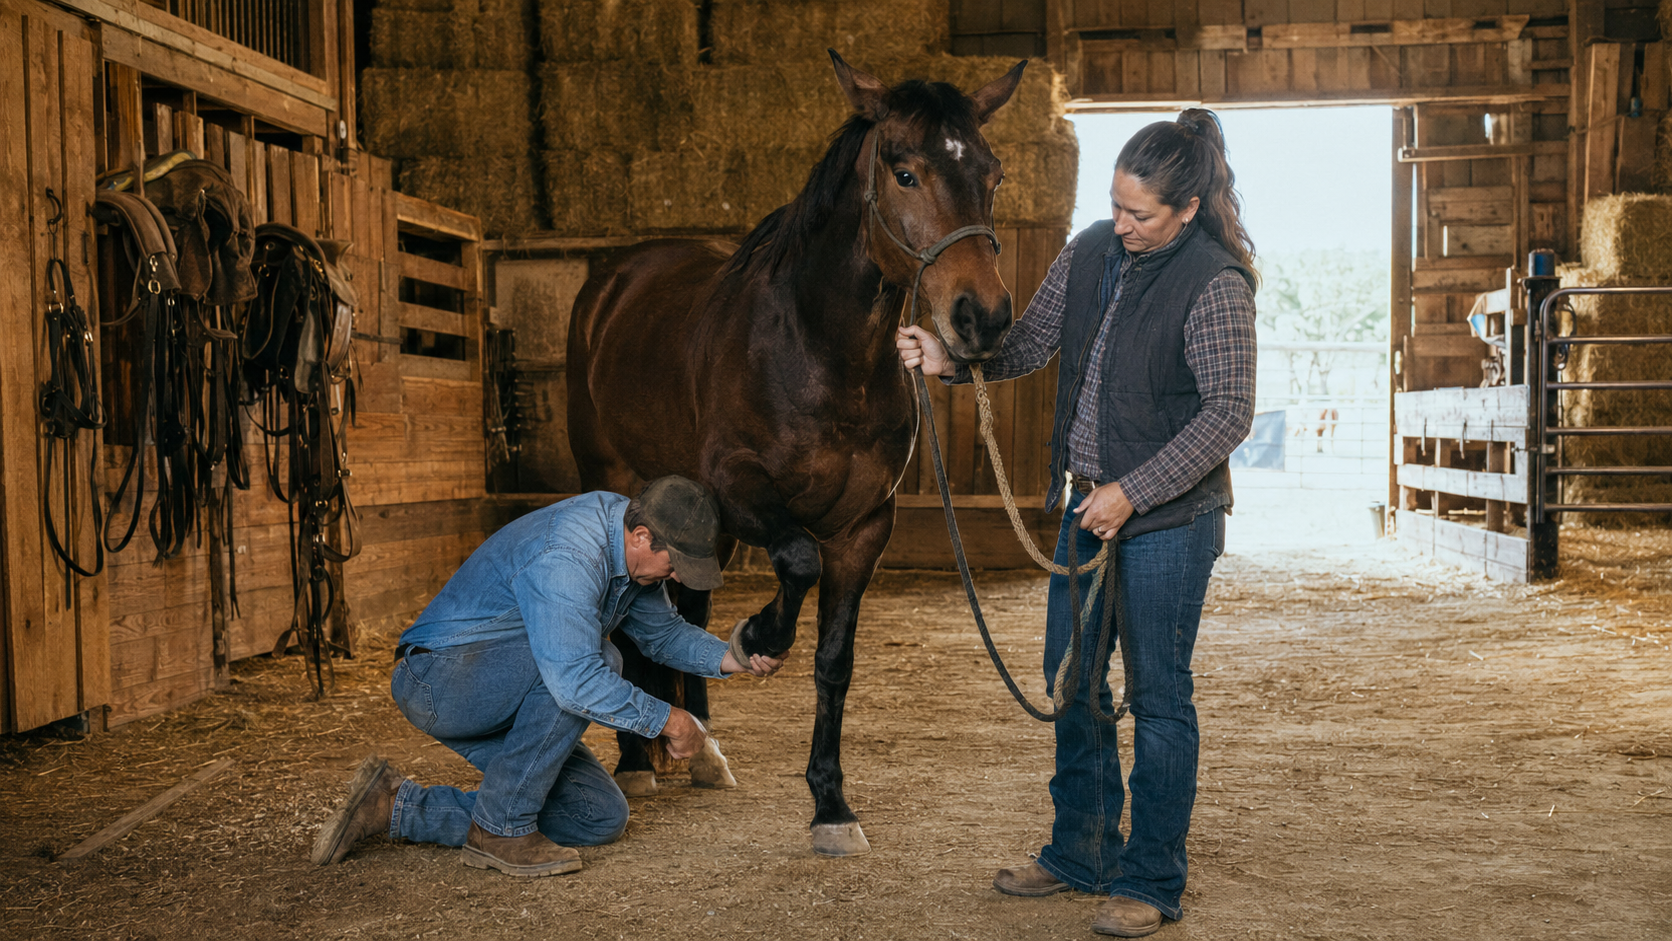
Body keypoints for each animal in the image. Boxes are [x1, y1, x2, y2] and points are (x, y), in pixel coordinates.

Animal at [566, 51, 1025, 856]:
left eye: (992, 174)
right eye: (904, 172)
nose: (983, 318)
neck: (821, 350)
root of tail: (614, 279)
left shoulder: (864, 527)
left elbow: (834, 661)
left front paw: (831, 805)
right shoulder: (740, 489)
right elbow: (796, 562)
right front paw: (758, 635)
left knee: (686, 604)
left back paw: (702, 750)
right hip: (620, 480)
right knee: (625, 614)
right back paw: (636, 762)